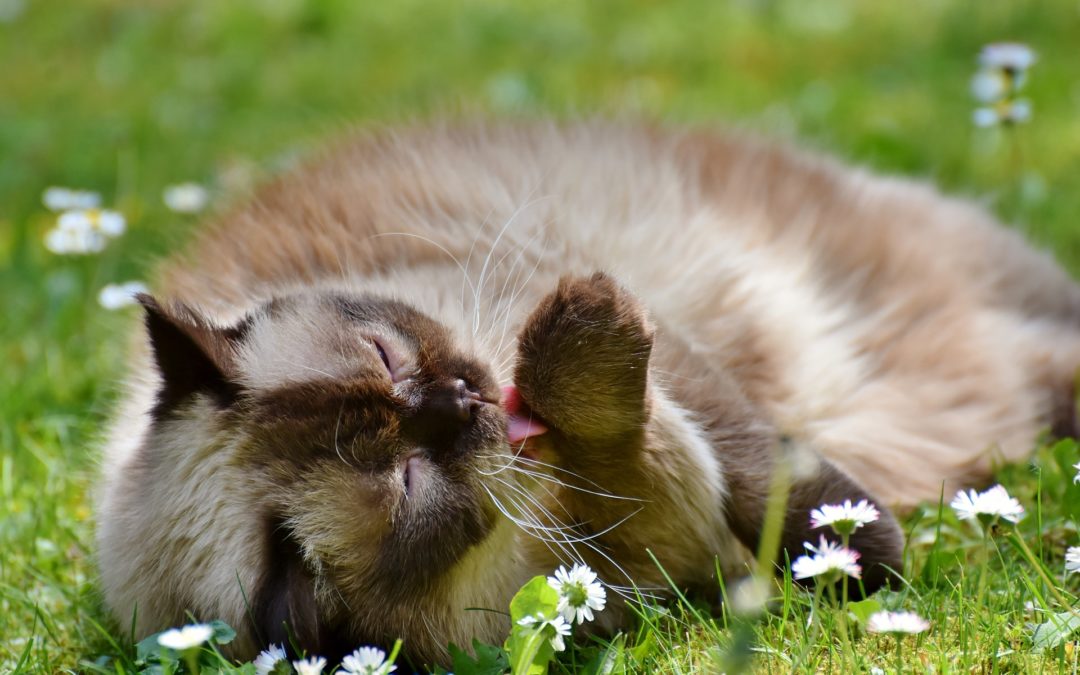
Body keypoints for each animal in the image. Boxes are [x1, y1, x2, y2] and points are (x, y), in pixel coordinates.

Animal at [92, 119, 1080, 665]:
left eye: (384, 357)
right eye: (409, 483)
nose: (460, 400)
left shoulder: (647, 380)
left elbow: (761, 469)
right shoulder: (644, 556)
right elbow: (657, 461)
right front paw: (851, 563)